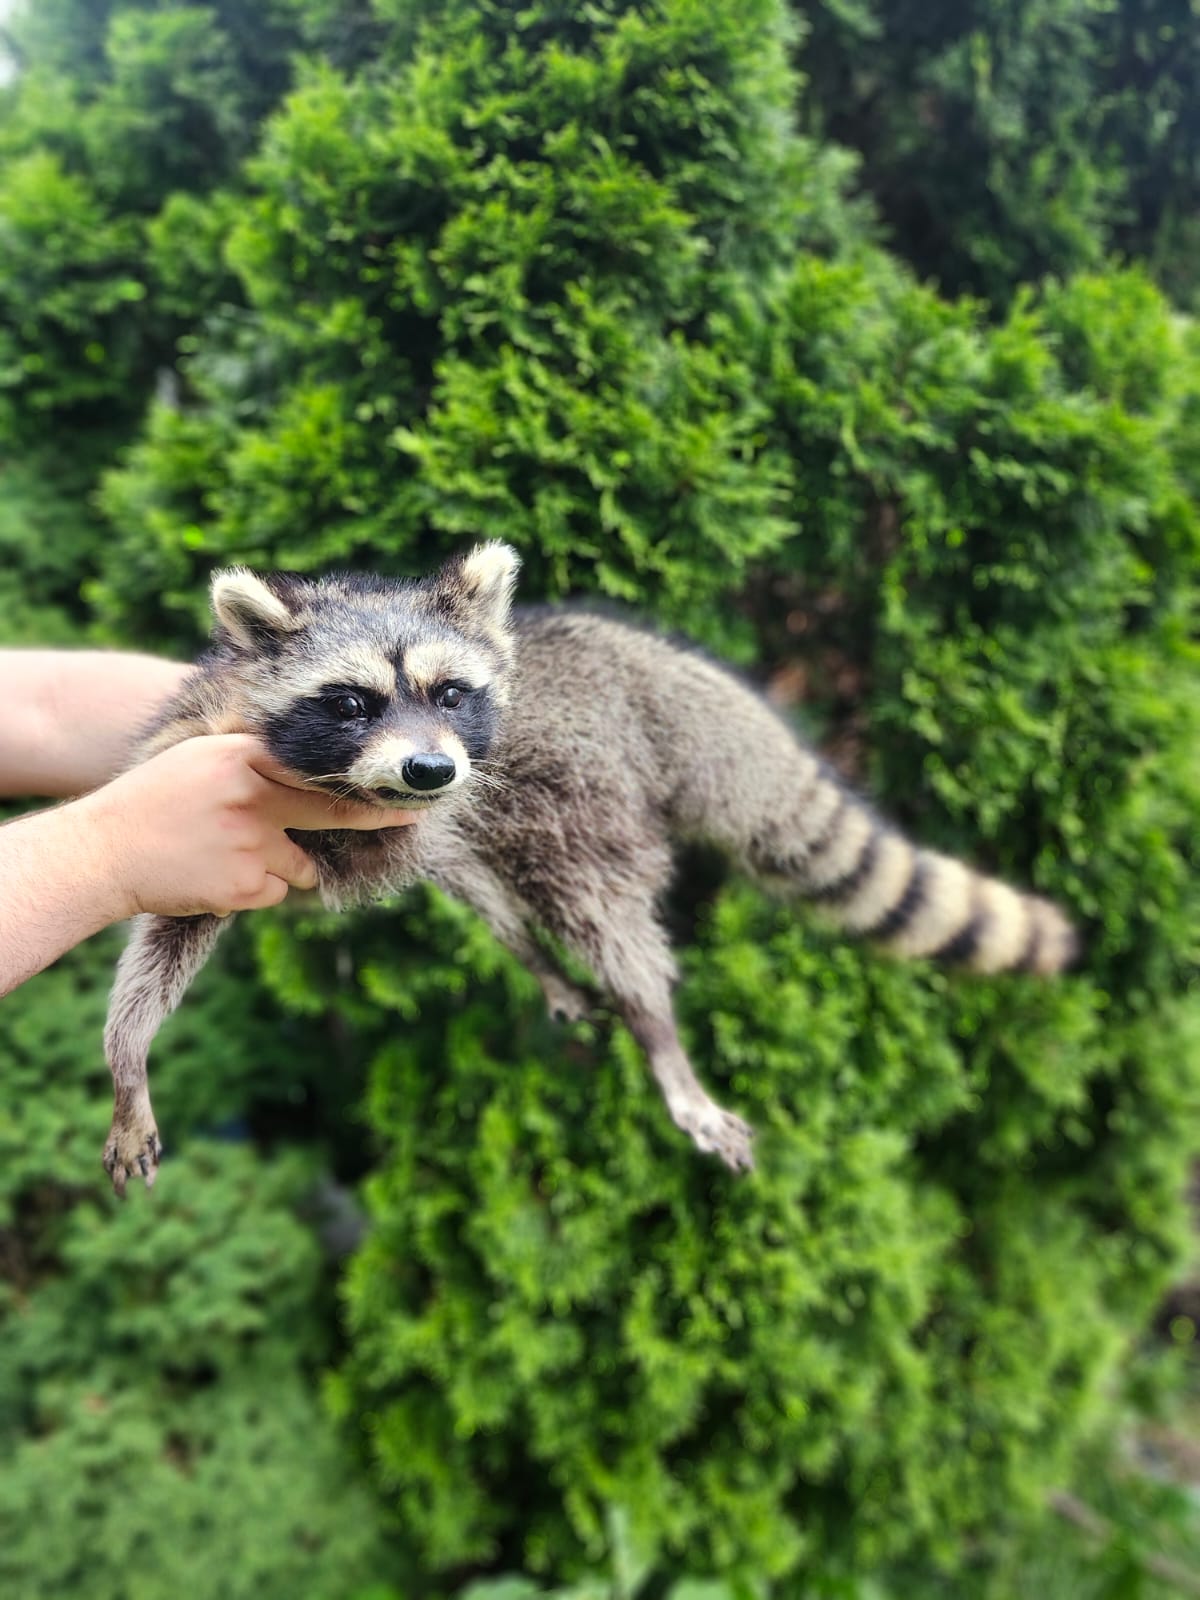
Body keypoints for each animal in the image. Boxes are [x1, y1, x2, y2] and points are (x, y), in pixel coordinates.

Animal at [102, 541, 1078, 1195]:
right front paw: (129, 1055)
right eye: (351, 703)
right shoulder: (206, 776)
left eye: (450, 692)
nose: (429, 769)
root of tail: (642, 665)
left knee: (602, 919)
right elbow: (170, 923)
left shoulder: (438, 808)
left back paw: (658, 1040)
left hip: (590, 799)